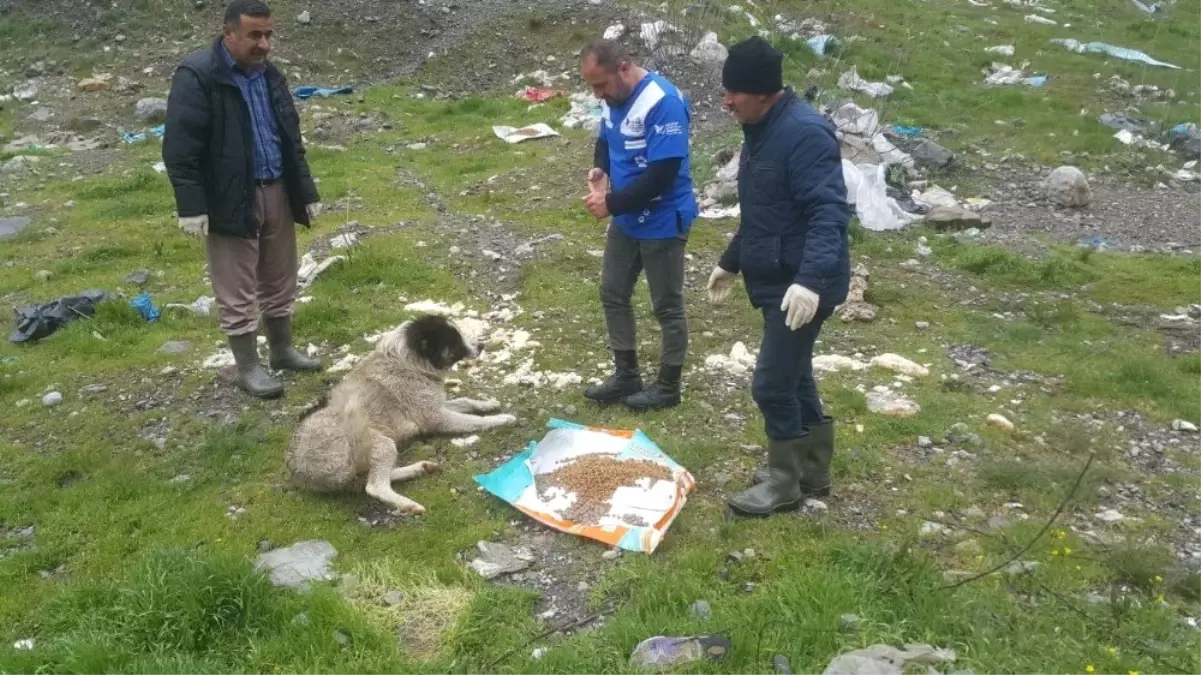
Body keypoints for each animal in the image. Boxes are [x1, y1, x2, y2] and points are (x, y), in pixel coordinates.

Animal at [291, 312, 521, 511]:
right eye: (454, 339)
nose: (482, 344)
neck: (409, 361)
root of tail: (301, 472)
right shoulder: (436, 418)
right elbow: (474, 421)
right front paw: (502, 419)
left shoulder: (436, 406)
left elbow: (467, 401)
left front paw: (488, 404)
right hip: (380, 444)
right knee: (374, 486)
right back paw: (409, 505)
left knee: (374, 477)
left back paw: (420, 468)